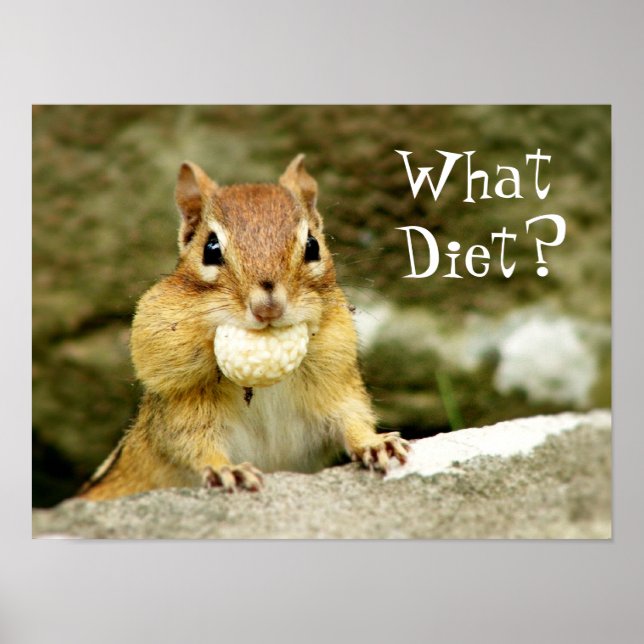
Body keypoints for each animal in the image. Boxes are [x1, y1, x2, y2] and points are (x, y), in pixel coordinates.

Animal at [78, 154, 410, 500]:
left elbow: (351, 418)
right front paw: (227, 470)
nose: (267, 307)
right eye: (210, 248)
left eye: (312, 245)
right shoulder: (181, 406)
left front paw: (375, 444)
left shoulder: (336, 383)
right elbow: (193, 444)